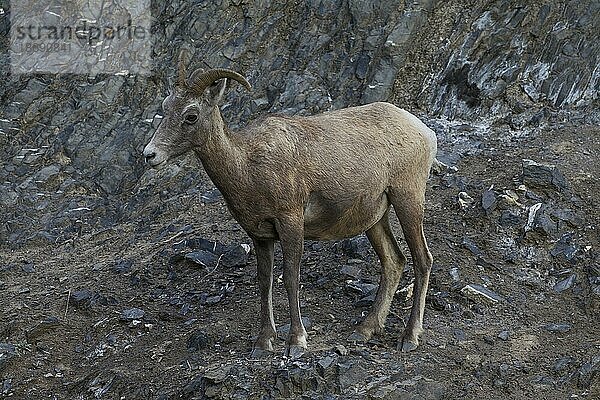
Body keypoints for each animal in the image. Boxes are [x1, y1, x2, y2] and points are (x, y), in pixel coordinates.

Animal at [144, 63, 438, 360]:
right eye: (166, 106)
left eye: (191, 115)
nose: (150, 155)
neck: (248, 166)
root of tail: (424, 132)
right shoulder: (260, 236)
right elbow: (265, 282)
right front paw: (263, 343)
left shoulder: (291, 222)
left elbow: (290, 279)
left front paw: (296, 341)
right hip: (374, 219)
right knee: (394, 261)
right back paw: (364, 330)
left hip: (408, 199)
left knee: (422, 259)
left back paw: (409, 337)